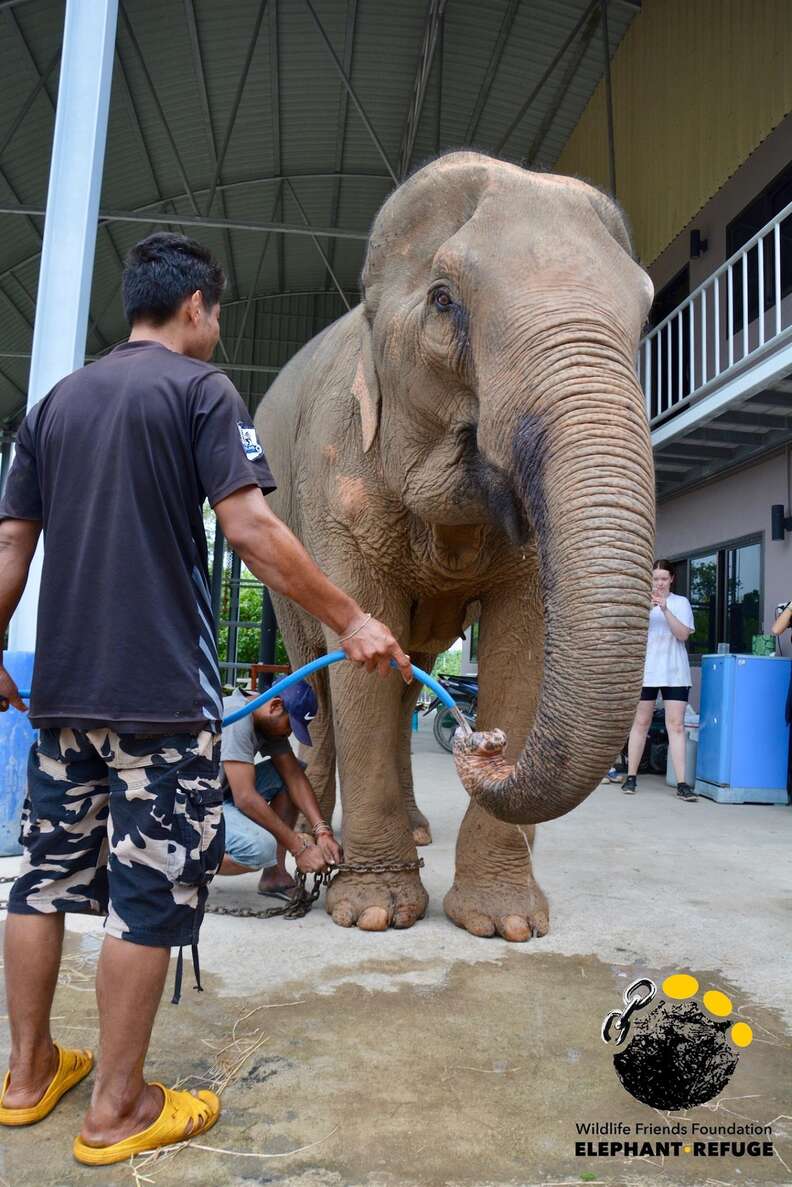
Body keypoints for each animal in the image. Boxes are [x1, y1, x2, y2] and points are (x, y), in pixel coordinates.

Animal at [255, 150, 655, 944]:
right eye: (444, 302)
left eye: (649, 311)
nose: (484, 745)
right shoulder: (335, 469)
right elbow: (361, 644)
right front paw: (374, 913)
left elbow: (521, 648)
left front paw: (506, 924)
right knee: (318, 679)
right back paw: (312, 836)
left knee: (410, 677)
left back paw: (414, 832)